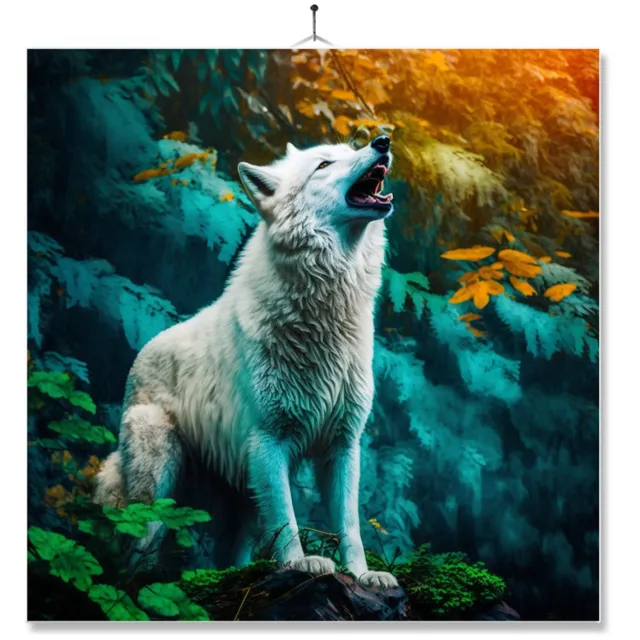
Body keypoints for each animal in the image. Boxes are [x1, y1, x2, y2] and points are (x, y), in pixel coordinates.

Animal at [94, 135, 397, 588]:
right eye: (324, 164)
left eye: (351, 149)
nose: (382, 140)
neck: (325, 314)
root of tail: (141, 356)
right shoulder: (269, 441)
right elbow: (288, 521)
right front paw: (301, 564)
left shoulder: (343, 443)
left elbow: (350, 524)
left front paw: (362, 575)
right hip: (161, 481)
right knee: (139, 550)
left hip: (242, 495)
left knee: (230, 555)